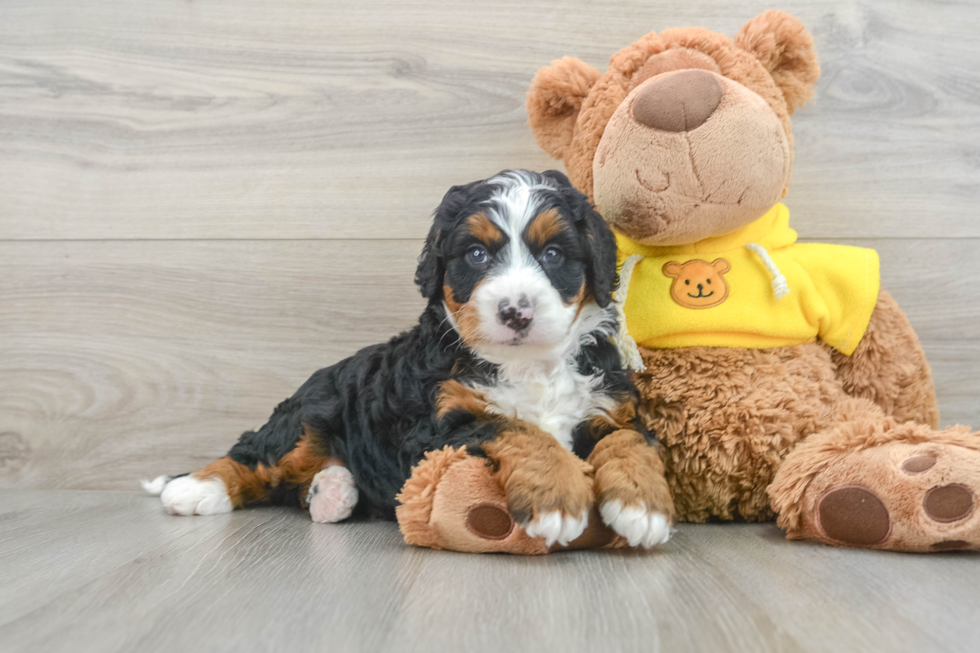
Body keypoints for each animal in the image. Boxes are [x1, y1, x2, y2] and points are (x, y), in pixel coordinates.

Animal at [144, 171, 672, 548]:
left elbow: (629, 440)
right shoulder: (435, 426)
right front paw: (558, 499)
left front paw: (643, 505)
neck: (529, 364)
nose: (515, 311)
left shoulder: (610, 403)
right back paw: (195, 489)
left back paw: (332, 492)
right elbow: (517, 428)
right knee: (256, 452)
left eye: (555, 254)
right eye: (476, 254)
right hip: (309, 414)